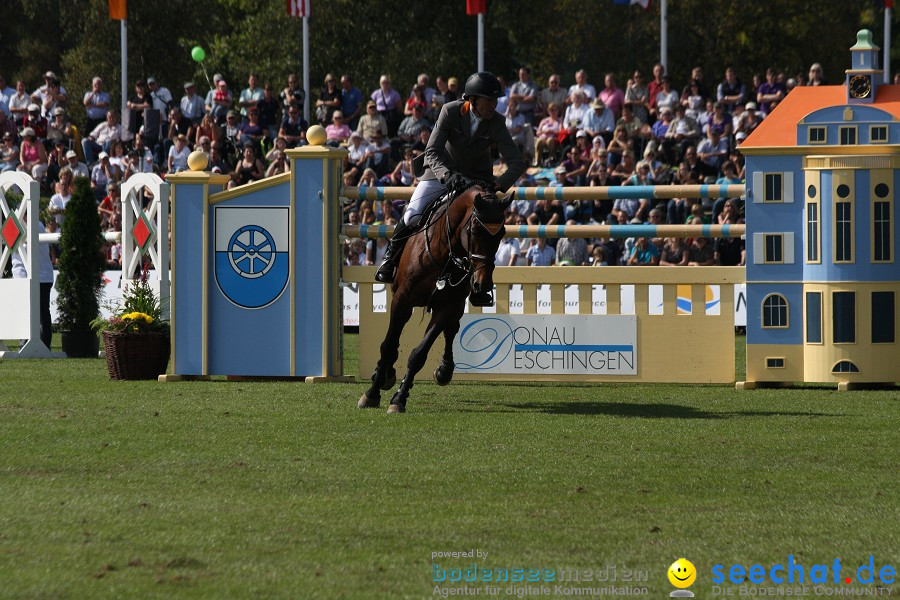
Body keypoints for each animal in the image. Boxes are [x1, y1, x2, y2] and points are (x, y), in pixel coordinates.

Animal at [360, 184, 512, 412]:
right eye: (474, 231)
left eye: (501, 233)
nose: (482, 284)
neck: (445, 252)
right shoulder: (402, 300)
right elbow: (388, 346)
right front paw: (372, 392)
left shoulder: (447, 306)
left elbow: (419, 354)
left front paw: (399, 398)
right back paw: (385, 374)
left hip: (456, 306)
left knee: (451, 330)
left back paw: (444, 371)